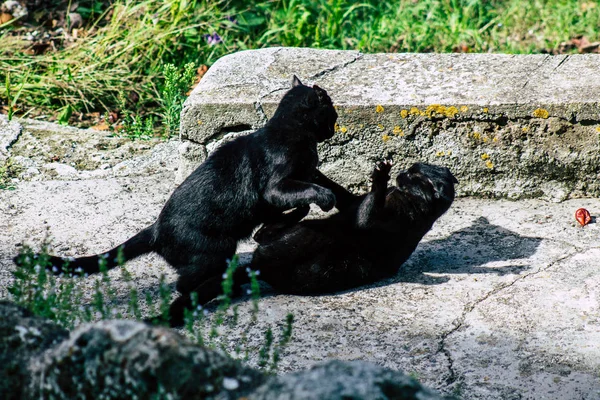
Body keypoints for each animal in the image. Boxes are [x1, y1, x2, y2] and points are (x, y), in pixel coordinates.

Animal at [17, 76, 338, 326]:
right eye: (332, 115)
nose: (334, 130)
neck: (290, 130)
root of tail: (156, 228)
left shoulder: (277, 198)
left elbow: (296, 206)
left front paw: (274, 227)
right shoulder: (275, 187)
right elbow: (306, 193)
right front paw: (325, 198)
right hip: (218, 248)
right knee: (183, 284)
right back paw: (224, 287)